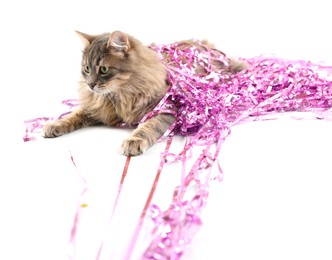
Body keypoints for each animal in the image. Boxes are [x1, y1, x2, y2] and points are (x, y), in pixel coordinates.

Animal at [42, 30, 246, 156]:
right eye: (86, 69)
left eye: (104, 69)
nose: (90, 85)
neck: (121, 95)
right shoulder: (97, 108)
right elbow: (73, 115)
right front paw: (54, 125)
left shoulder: (166, 109)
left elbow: (148, 127)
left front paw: (133, 141)